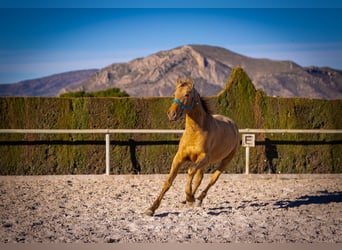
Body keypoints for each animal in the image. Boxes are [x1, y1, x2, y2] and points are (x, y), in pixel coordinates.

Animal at [144, 77, 238, 216]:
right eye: (174, 93)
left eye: (187, 94)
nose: (171, 114)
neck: (196, 131)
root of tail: (233, 124)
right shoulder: (179, 158)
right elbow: (168, 181)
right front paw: (151, 208)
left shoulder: (203, 157)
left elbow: (190, 171)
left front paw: (189, 197)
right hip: (205, 164)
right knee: (199, 179)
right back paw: (190, 199)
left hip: (225, 161)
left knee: (212, 179)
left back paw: (197, 199)